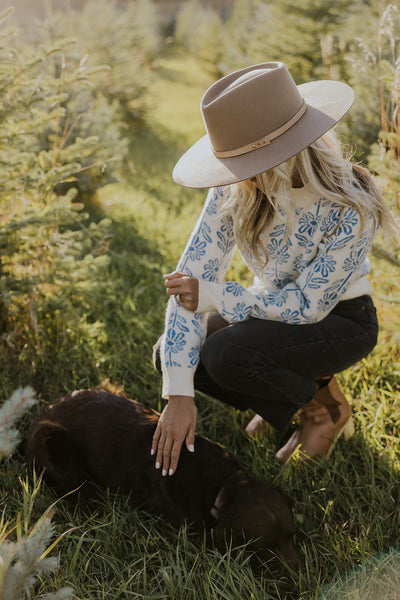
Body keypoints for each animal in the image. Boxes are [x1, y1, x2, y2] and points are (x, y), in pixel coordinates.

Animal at [24, 390, 300, 572]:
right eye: (264, 548)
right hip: (50, 442)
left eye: (291, 535)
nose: (298, 573)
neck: (220, 483)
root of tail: (37, 417)